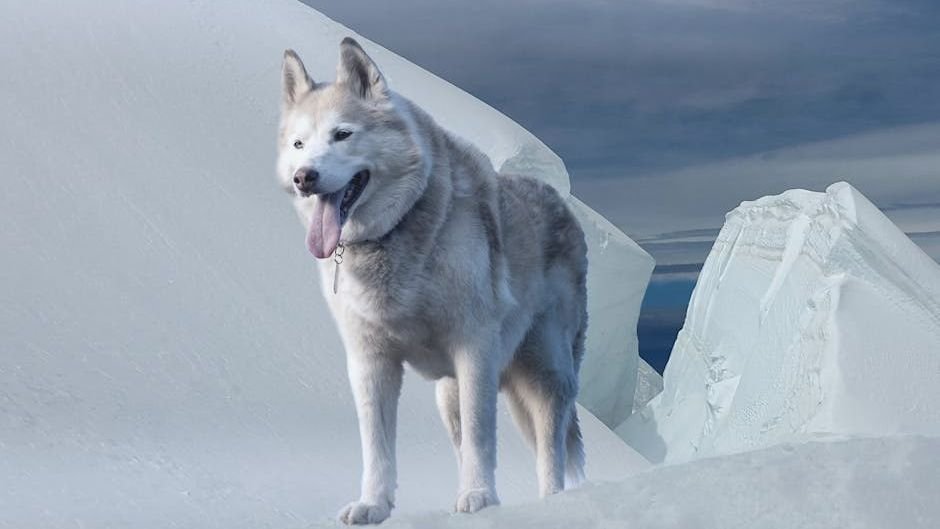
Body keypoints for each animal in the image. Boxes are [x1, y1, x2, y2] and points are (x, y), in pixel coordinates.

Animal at [277, 38, 588, 525]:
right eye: (299, 143)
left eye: (342, 134)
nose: (304, 177)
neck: (394, 235)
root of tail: (560, 201)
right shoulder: (370, 362)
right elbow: (377, 446)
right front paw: (374, 505)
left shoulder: (474, 347)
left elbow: (482, 436)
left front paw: (480, 497)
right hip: (450, 394)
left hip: (545, 372)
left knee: (550, 449)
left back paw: (551, 502)